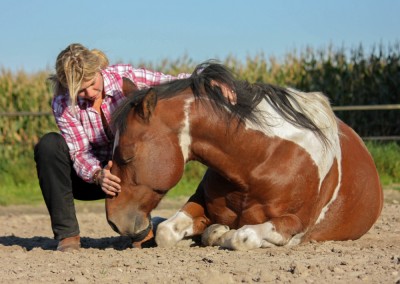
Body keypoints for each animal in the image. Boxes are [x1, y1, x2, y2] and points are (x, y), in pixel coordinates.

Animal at [104, 62, 382, 251]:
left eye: (126, 156)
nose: (114, 221)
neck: (257, 162)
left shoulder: (295, 222)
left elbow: (242, 236)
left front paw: (220, 233)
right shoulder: (198, 202)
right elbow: (165, 231)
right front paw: (210, 230)